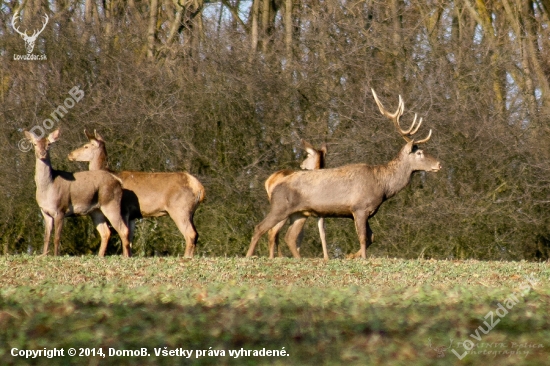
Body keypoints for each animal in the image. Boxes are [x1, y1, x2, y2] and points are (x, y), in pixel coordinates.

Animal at [23, 129, 133, 258]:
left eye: (49, 144)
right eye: (34, 144)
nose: (42, 153)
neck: (48, 188)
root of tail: (118, 181)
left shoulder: (61, 209)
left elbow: (57, 237)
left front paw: (56, 255)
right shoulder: (44, 211)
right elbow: (46, 237)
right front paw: (44, 255)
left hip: (111, 203)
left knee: (124, 230)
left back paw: (126, 257)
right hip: (96, 211)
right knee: (106, 232)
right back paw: (100, 256)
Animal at [68, 131, 206, 258]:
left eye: (86, 146)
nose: (70, 154)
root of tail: (199, 188)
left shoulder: (124, 209)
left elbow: (124, 234)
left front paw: (125, 256)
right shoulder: (133, 215)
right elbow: (130, 238)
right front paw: (130, 255)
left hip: (179, 209)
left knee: (190, 234)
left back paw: (186, 257)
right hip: (191, 212)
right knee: (196, 233)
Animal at [248, 89, 442, 258]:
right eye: (419, 152)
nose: (439, 164)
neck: (383, 186)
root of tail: (272, 185)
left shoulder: (366, 211)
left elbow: (371, 237)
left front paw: (350, 256)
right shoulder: (359, 207)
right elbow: (363, 237)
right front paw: (363, 259)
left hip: (300, 213)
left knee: (290, 236)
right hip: (280, 206)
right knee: (261, 228)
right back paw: (249, 256)